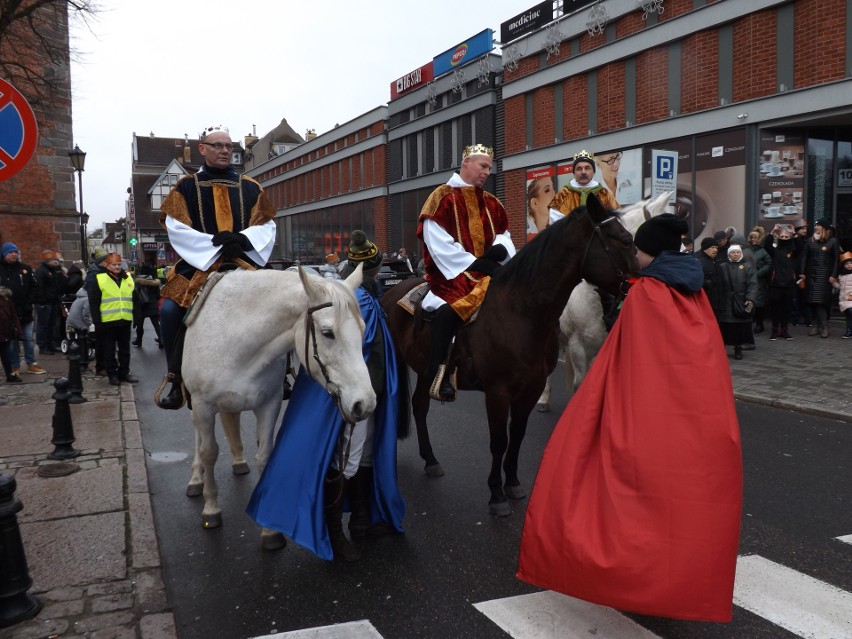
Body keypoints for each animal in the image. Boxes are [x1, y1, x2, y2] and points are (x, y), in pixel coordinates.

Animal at [183, 264, 376, 552]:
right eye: (327, 333)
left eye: (363, 329)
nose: (365, 403)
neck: (234, 339)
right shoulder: (203, 405)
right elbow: (209, 452)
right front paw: (211, 509)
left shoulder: (269, 404)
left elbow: (265, 456)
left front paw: (268, 530)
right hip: (194, 405)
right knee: (197, 437)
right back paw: (196, 479)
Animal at [382, 195, 640, 516]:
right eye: (624, 240)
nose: (642, 282)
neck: (521, 312)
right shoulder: (498, 392)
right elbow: (498, 440)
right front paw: (496, 494)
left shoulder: (531, 389)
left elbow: (516, 435)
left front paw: (513, 484)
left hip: (426, 369)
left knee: (419, 406)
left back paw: (430, 460)